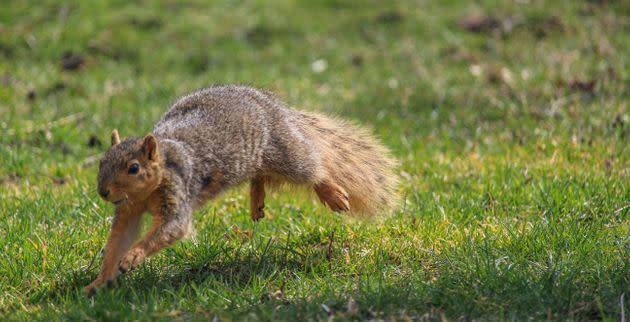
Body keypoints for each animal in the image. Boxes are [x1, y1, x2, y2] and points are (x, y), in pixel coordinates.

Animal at [84, 85, 400, 294]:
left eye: (134, 168)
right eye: (101, 162)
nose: (104, 192)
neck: (146, 192)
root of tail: (276, 107)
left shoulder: (177, 193)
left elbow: (172, 228)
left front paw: (133, 256)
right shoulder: (128, 209)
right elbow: (117, 241)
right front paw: (97, 283)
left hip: (286, 152)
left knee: (313, 168)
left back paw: (331, 193)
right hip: (255, 159)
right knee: (259, 175)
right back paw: (256, 201)